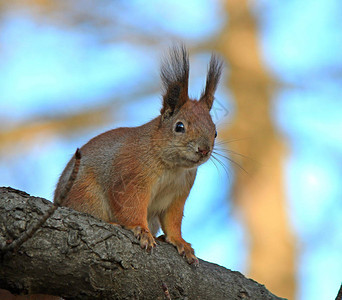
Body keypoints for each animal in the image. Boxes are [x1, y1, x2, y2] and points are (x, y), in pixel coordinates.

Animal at [54, 45, 223, 264]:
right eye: (179, 127)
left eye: (215, 132)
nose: (203, 150)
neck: (172, 167)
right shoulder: (130, 178)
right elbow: (130, 207)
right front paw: (141, 230)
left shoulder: (178, 195)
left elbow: (173, 220)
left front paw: (180, 242)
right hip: (84, 194)